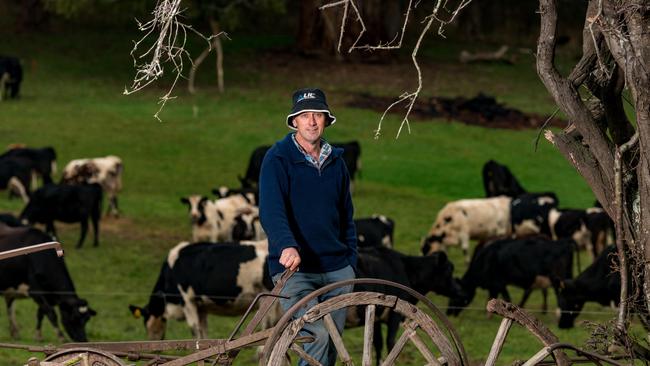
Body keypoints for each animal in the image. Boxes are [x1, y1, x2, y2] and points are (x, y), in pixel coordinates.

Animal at [129, 240, 274, 340]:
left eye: (146, 322)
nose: (153, 341)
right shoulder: (202, 307)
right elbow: (203, 332)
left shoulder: (187, 301)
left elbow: (195, 331)